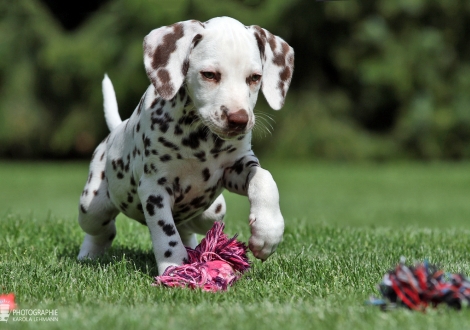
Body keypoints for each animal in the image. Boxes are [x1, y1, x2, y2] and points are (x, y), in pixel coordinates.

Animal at [77, 15, 294, 274]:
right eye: (209, 74)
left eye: (255, 78)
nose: (239, 120)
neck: (199, 139)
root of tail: (115, 130)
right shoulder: (154, 189)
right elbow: (165, 232)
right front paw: (174, 267)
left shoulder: (236, 167)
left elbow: (264, 178)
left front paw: (268, 230)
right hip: (92, 206)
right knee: (101, 230)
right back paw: (89, 255)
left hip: (213, 212)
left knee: (188, 229)